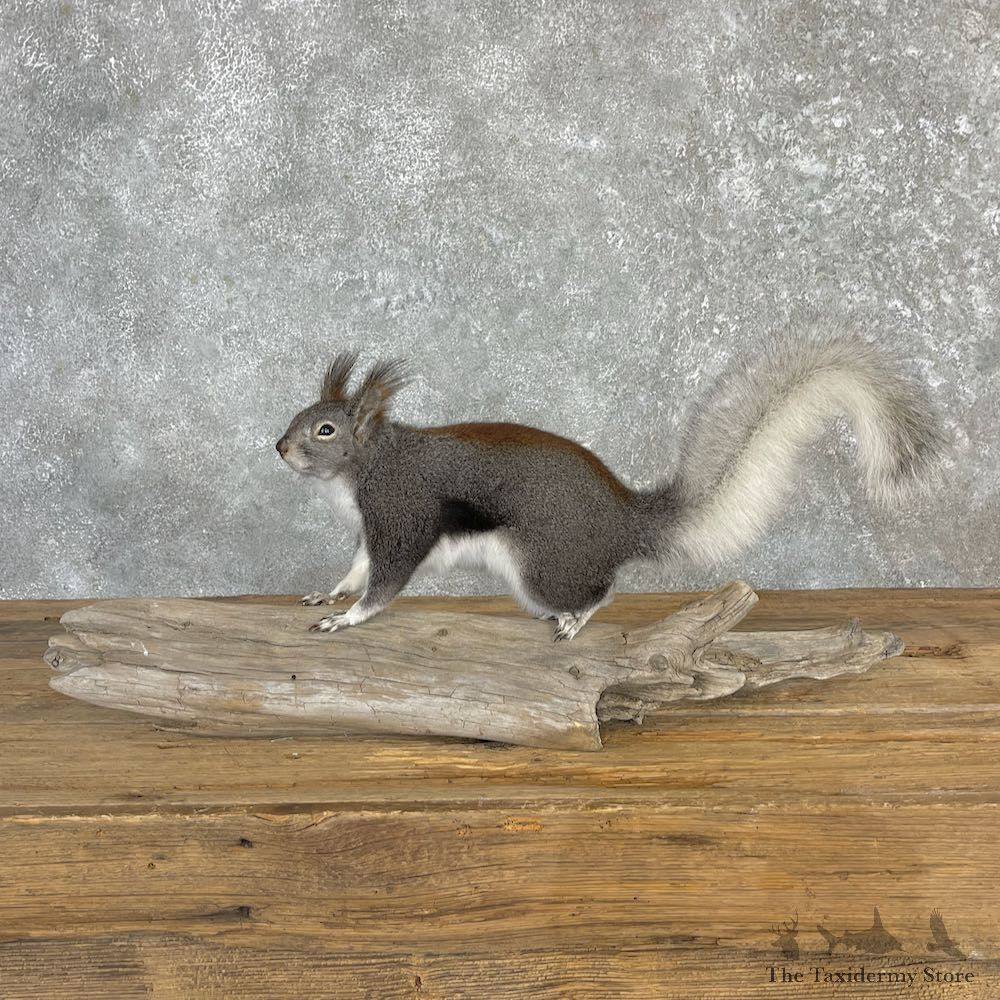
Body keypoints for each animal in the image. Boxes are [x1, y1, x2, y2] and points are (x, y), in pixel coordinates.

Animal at [276, 334, 945, 640]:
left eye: (325, 429)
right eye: (303, 416)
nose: (279, 447)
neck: (367, 467)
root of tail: (622, 523)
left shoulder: (401, 511)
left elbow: (385, 582)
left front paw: (349, 619)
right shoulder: (371, 529)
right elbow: (358, 568)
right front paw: (328, 595)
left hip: (544, 567)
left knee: (603, 590)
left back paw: (577, 619)